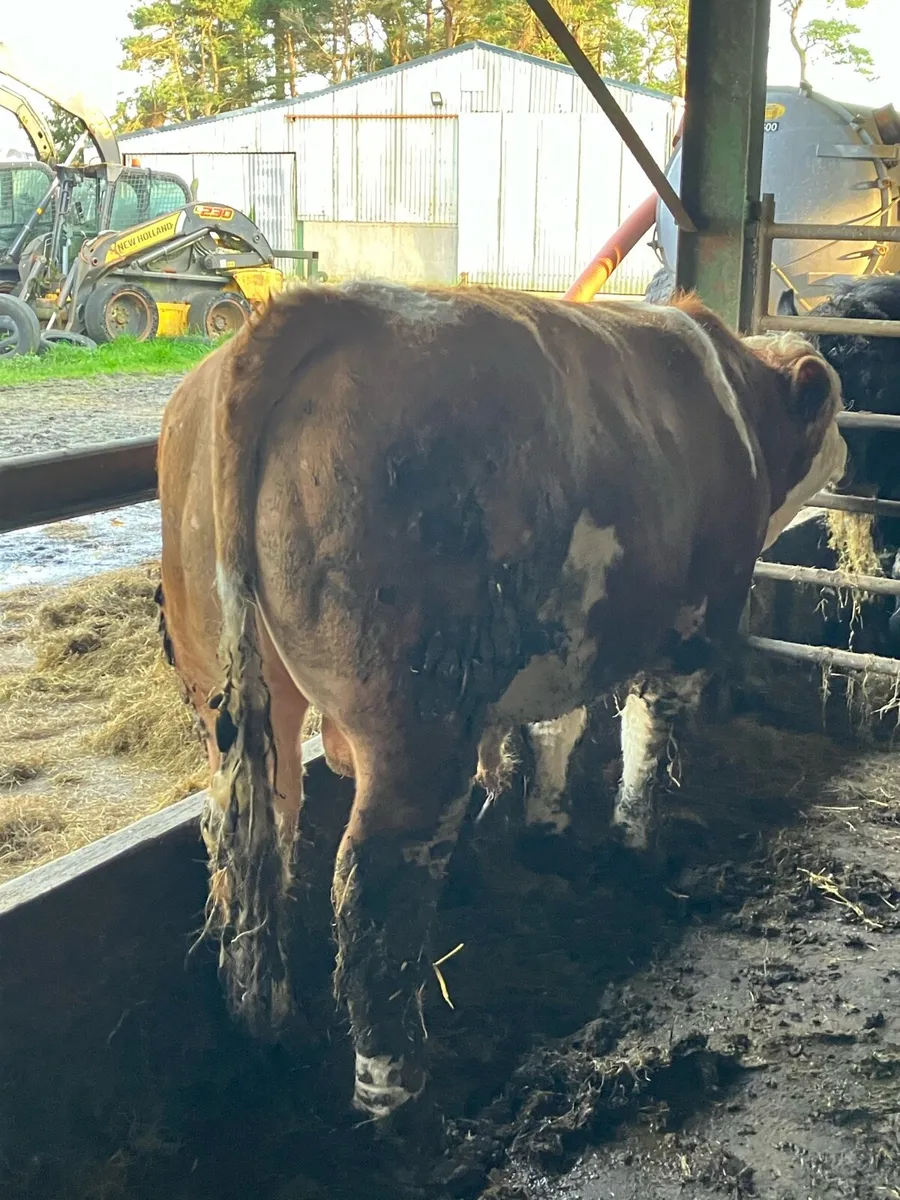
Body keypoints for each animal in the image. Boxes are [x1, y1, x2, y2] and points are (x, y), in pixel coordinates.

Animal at [158, 282, 845, 1121]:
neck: (734, 400)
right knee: (373, 877)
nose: (851, 449)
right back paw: (393, 1086)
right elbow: (645, 738)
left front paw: (546, 828)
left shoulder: (571, 634)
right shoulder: (690, 628)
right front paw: (636, 845)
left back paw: (268, 1023)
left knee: (252, 839)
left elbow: (559, 727)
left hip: (236, 697)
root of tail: (316, 310)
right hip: (413, 722)